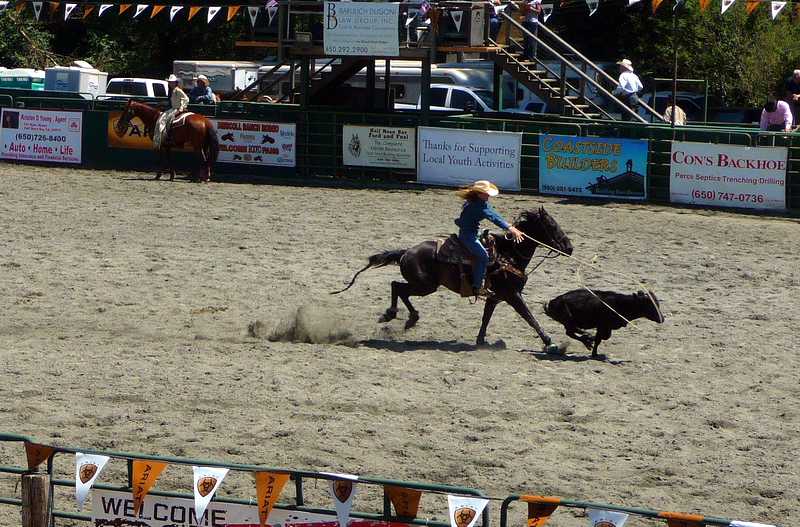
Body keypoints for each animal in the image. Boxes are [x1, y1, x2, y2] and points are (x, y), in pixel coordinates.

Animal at [332, 208, 576, 352]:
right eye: (552, 226)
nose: (570, 248)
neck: (508, 254)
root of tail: (406, 251)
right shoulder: (512, 295)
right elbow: (530, 317)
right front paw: (550, 342)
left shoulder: (495, 297)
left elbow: (486, 318)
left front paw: (481, 341)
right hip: (425, 286)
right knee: (398, 287)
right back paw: (400, 316)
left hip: (424, 285)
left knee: (397, 287)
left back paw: (403, 317)